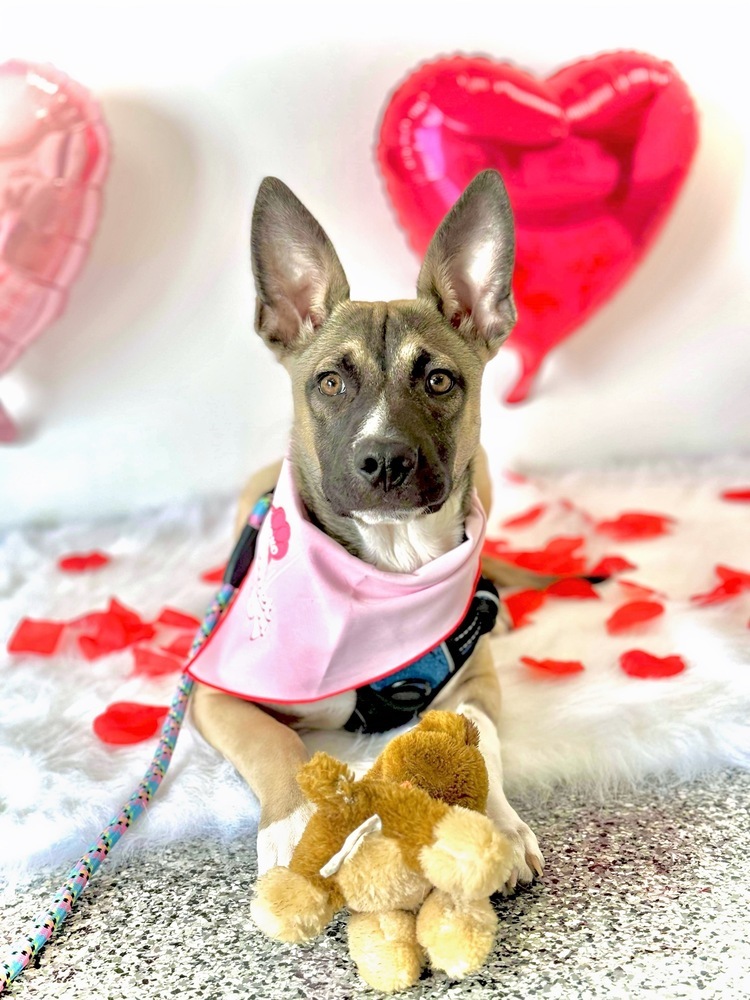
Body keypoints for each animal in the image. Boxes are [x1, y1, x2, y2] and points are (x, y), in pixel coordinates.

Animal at [191, 170, 548, 892]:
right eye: (330, 381)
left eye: (438, 379)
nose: (384, 461)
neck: (387, 568)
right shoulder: (216, 692)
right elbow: (275, 741)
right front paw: (293, 832)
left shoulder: (476, 682)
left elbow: (480, 738)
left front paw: (499, 826)